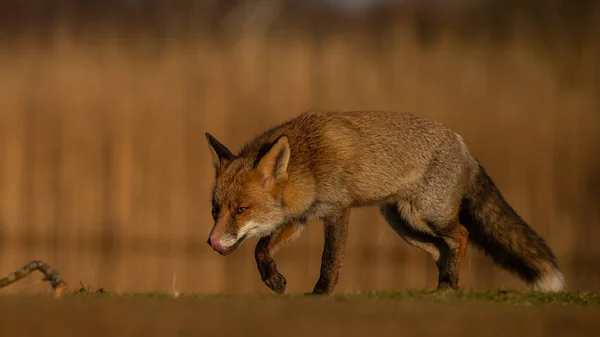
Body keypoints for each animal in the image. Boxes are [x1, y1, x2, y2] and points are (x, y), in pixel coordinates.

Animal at [204, 111, 564, 294]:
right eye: (215, 210)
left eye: (241, 209)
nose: (211, 241)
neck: (309, 164)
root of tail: (464, 146)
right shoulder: (299, 217)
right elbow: (260, 248)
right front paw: (273, 280)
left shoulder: (337, 210)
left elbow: (329, 258)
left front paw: (321, 292)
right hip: (402, 224)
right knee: (440, 250)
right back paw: (442, 285)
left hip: (426, 216)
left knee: (461, 236)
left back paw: (449, 284)